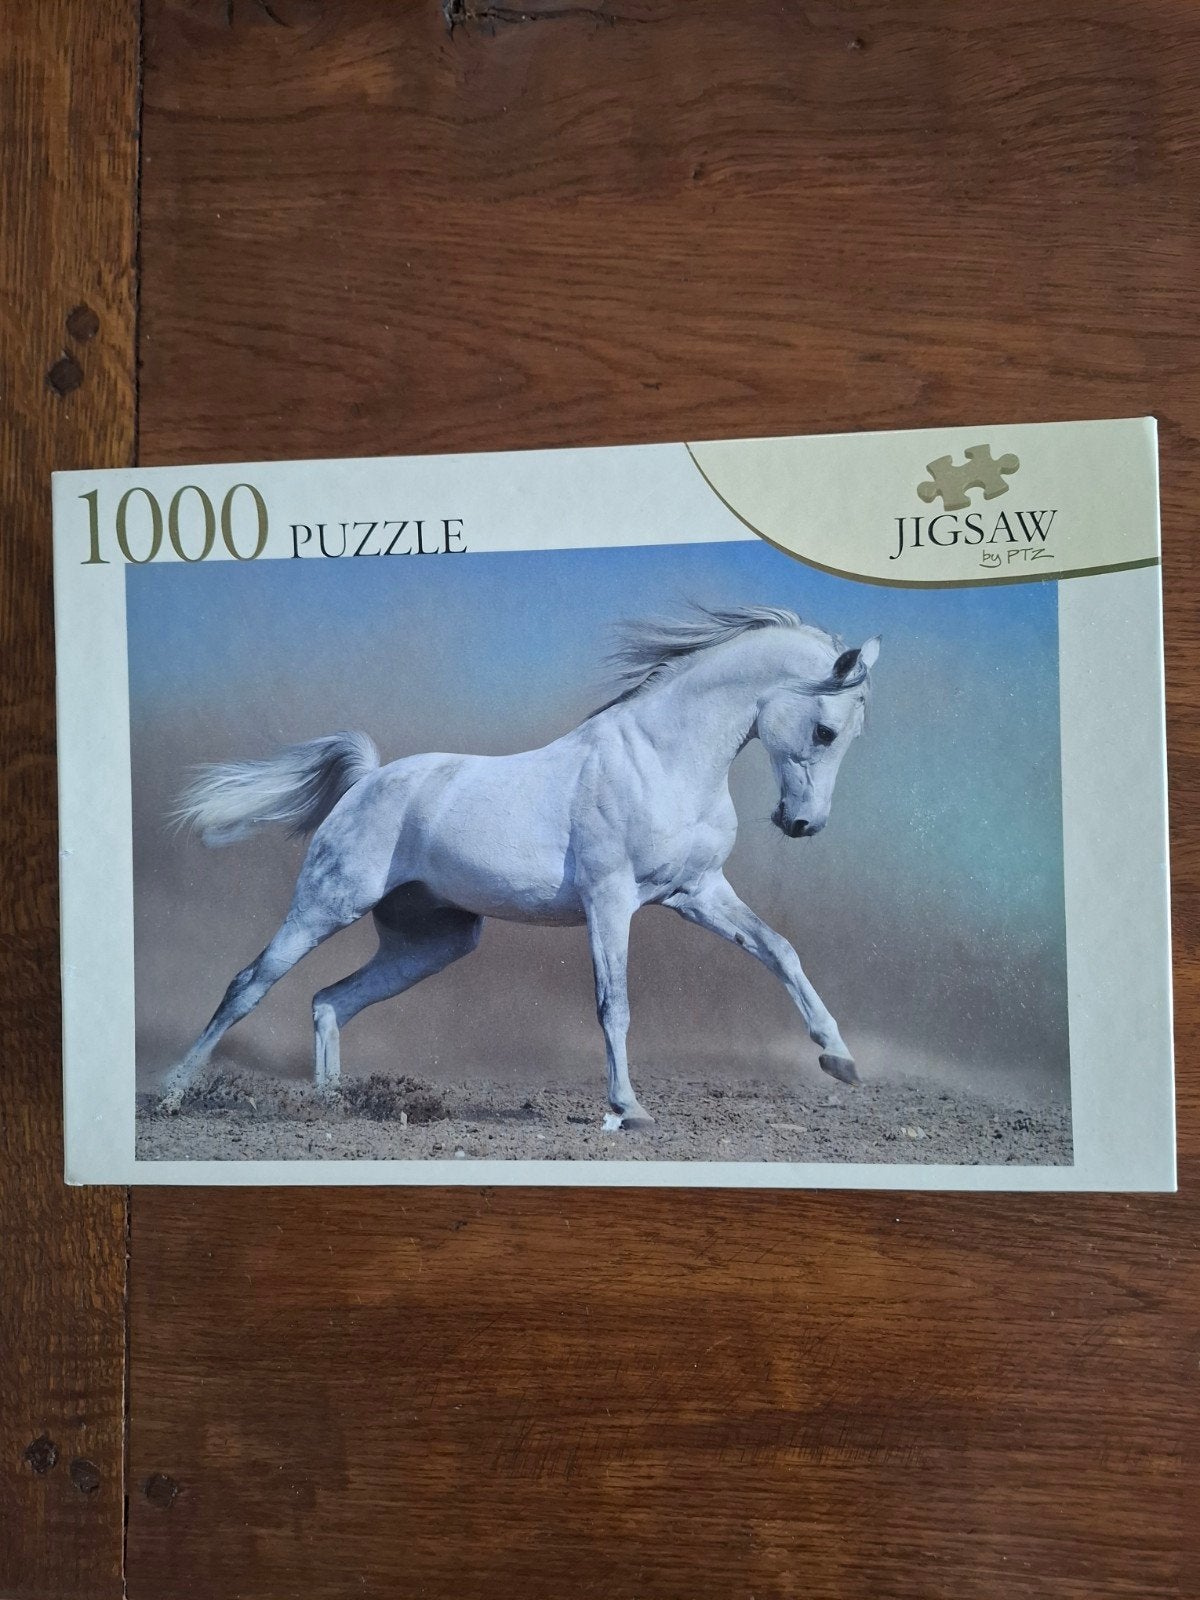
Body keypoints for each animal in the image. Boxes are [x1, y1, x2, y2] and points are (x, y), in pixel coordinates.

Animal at [160, 604, 880, 1126]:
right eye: (826, 730)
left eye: (852, 733)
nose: (802, 824)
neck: (661, 759)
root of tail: (367, 781)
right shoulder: (610, 901)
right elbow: (614, 1004)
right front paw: (628, 1109)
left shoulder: (696, 892)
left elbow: (780, 951)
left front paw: (839, 1060)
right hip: (325, 905)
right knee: (248, 985)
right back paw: (172, 1094)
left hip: (432, 943)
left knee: (330, 1001)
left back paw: (333, 1105)